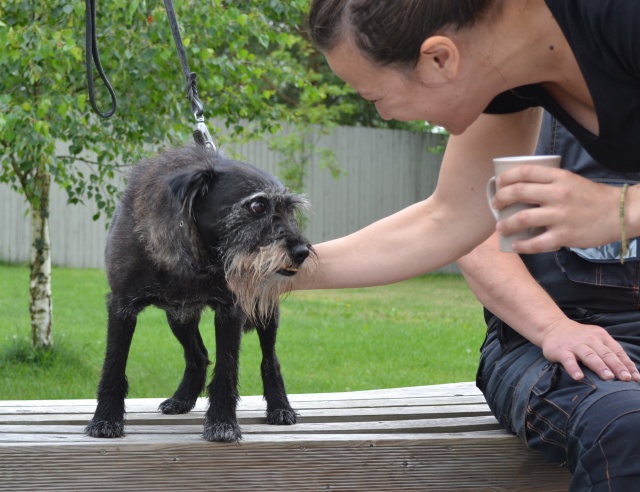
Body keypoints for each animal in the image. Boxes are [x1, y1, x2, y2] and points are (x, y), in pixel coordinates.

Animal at [85, 145, 316, 442]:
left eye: (290, 210)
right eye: (258, 205)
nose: (302, 252)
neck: (197, 258)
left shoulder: (230, 311)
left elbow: (227, 370)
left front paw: (222, 423)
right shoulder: (121, 306)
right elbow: (114, 365)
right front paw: (105, 419)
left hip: (265, 314)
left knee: (270, 360)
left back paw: (280, 407)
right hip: (179, 318)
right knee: (198, 356)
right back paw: (182, 398)